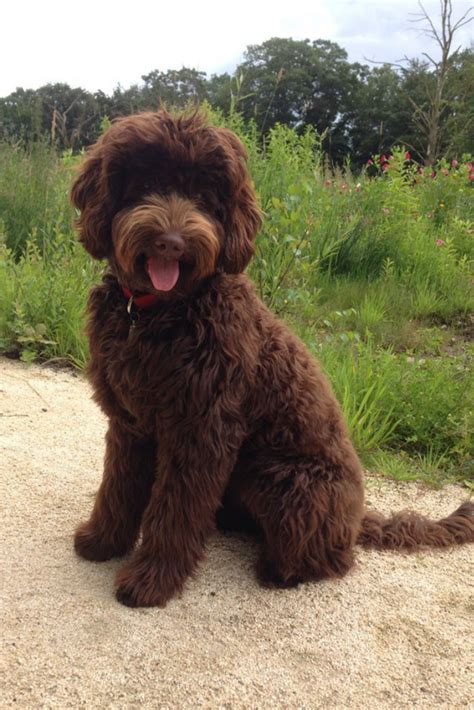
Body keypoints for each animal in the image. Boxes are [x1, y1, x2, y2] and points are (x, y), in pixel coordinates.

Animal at [71, 108, 474, 608]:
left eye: (204, 196)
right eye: (144, 183)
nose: (171, 242)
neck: (156, 312)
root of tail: (356, 517)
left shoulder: (201, 429)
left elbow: (174, 509)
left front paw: (152, 579)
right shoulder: (130, 420)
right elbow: (119, 485)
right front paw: (102, 541)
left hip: (282, 478)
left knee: (335, 559)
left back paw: (281, 569)